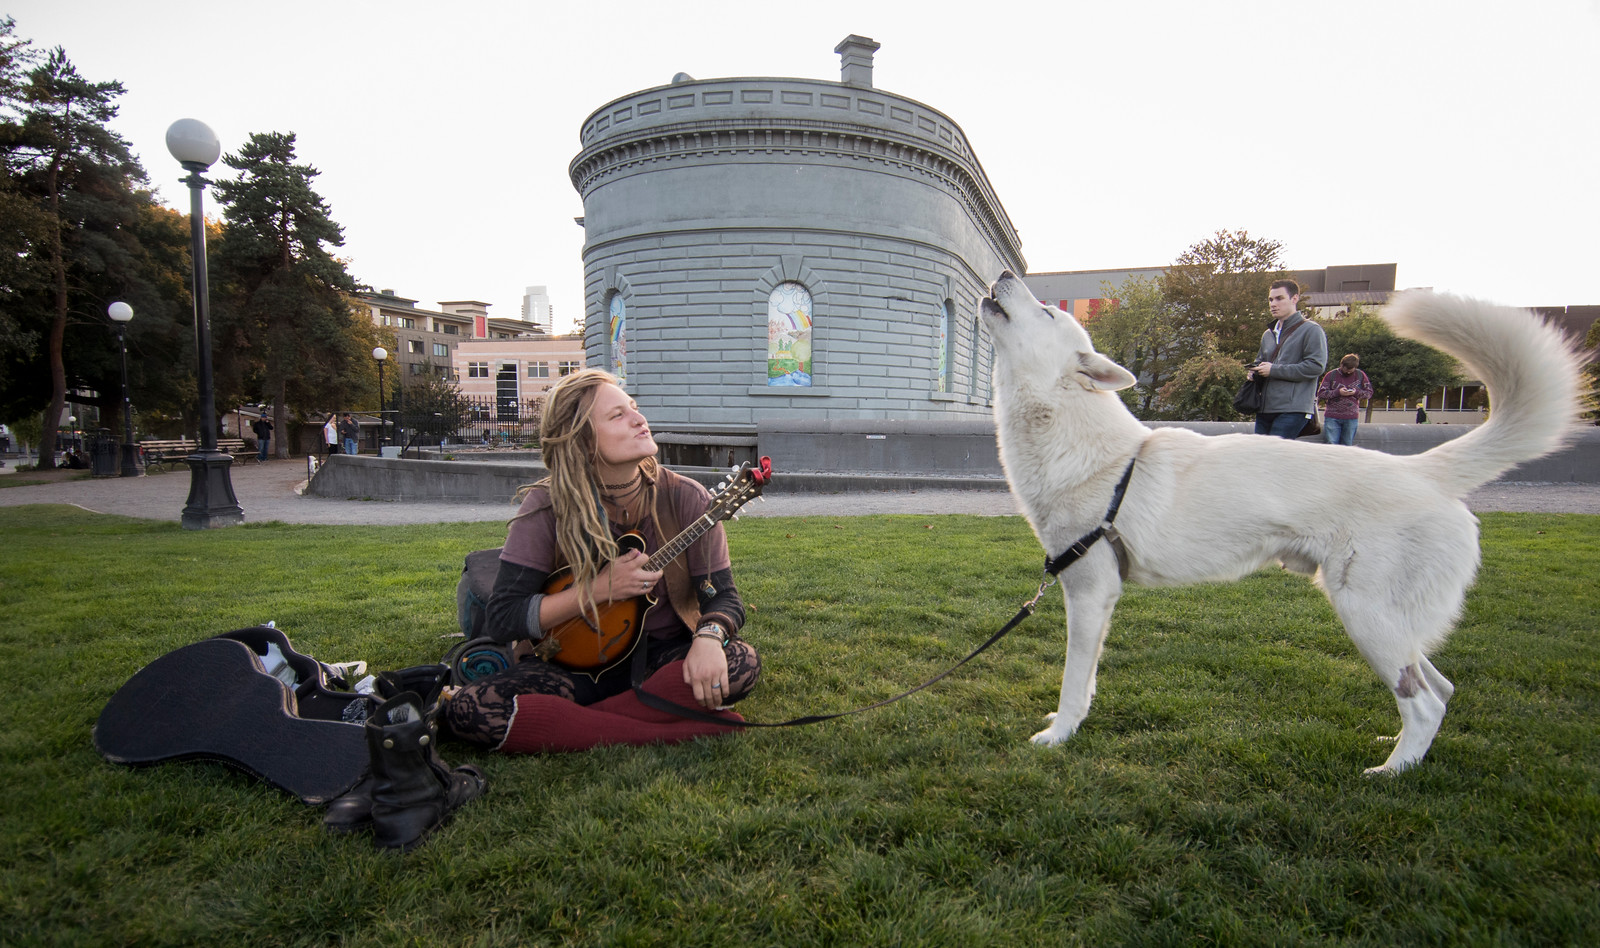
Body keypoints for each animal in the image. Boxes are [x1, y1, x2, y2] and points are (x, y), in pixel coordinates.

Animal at [972, 270, 1587, 775]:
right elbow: (1089, 678)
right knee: (1441, 687)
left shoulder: (1088, 590)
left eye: (1048, 312)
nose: (1004, 273)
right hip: (1389, 623)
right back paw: (1399, 751)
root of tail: (1424, 472)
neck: (1070, 429)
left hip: (1366, 617)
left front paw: (1059, 735)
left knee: (1425, 700)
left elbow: (1074, 680)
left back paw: (1390, 773)